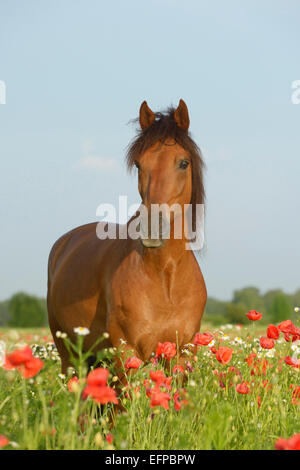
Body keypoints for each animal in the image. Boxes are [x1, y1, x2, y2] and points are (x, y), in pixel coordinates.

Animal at [47, 97, 206, 380]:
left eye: (183, 163)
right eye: (139, 164)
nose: (152, 228)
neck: (165, 275)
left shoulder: (182, 353)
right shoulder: (125, 351)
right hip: (70, 356)